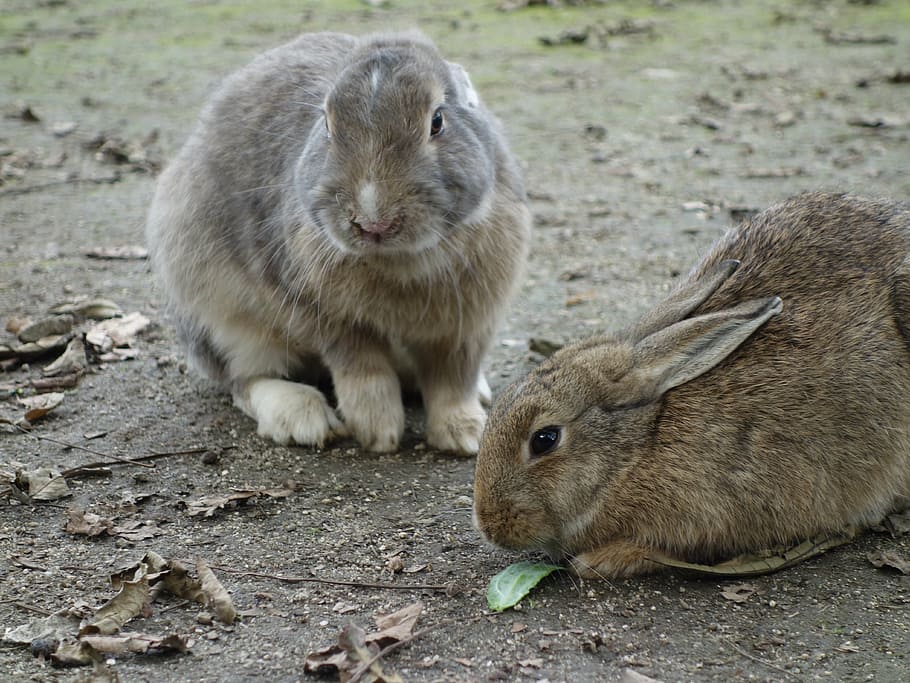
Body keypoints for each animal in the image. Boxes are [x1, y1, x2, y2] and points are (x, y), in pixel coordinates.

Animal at [146, 32, 531, 454]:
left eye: (437, 121)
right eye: (327, 124)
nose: (373, 222)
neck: (398, 258)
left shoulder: (467, 326)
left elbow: (453, 379)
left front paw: (465, 436)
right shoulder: (328, 316)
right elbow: (362, 369)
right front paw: (378, 431)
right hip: (221, 317)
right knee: (244, 379)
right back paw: (303, 417)